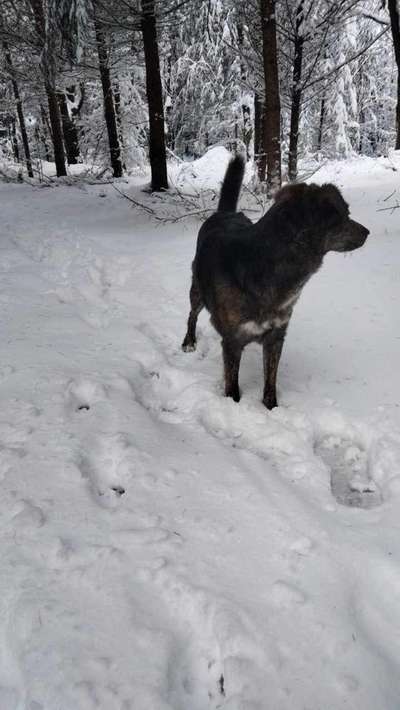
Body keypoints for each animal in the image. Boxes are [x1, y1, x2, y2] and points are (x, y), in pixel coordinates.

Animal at [181, 156, 368, 412]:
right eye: (344, 214)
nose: (367, 232)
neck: (267, 262)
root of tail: (225, 213)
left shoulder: (276, 337)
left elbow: (270, 381)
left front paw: (271, 408)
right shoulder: (232, 341)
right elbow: (232, 385)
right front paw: (233, 404)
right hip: (197, 292)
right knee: (192, 315)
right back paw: (189, 342)